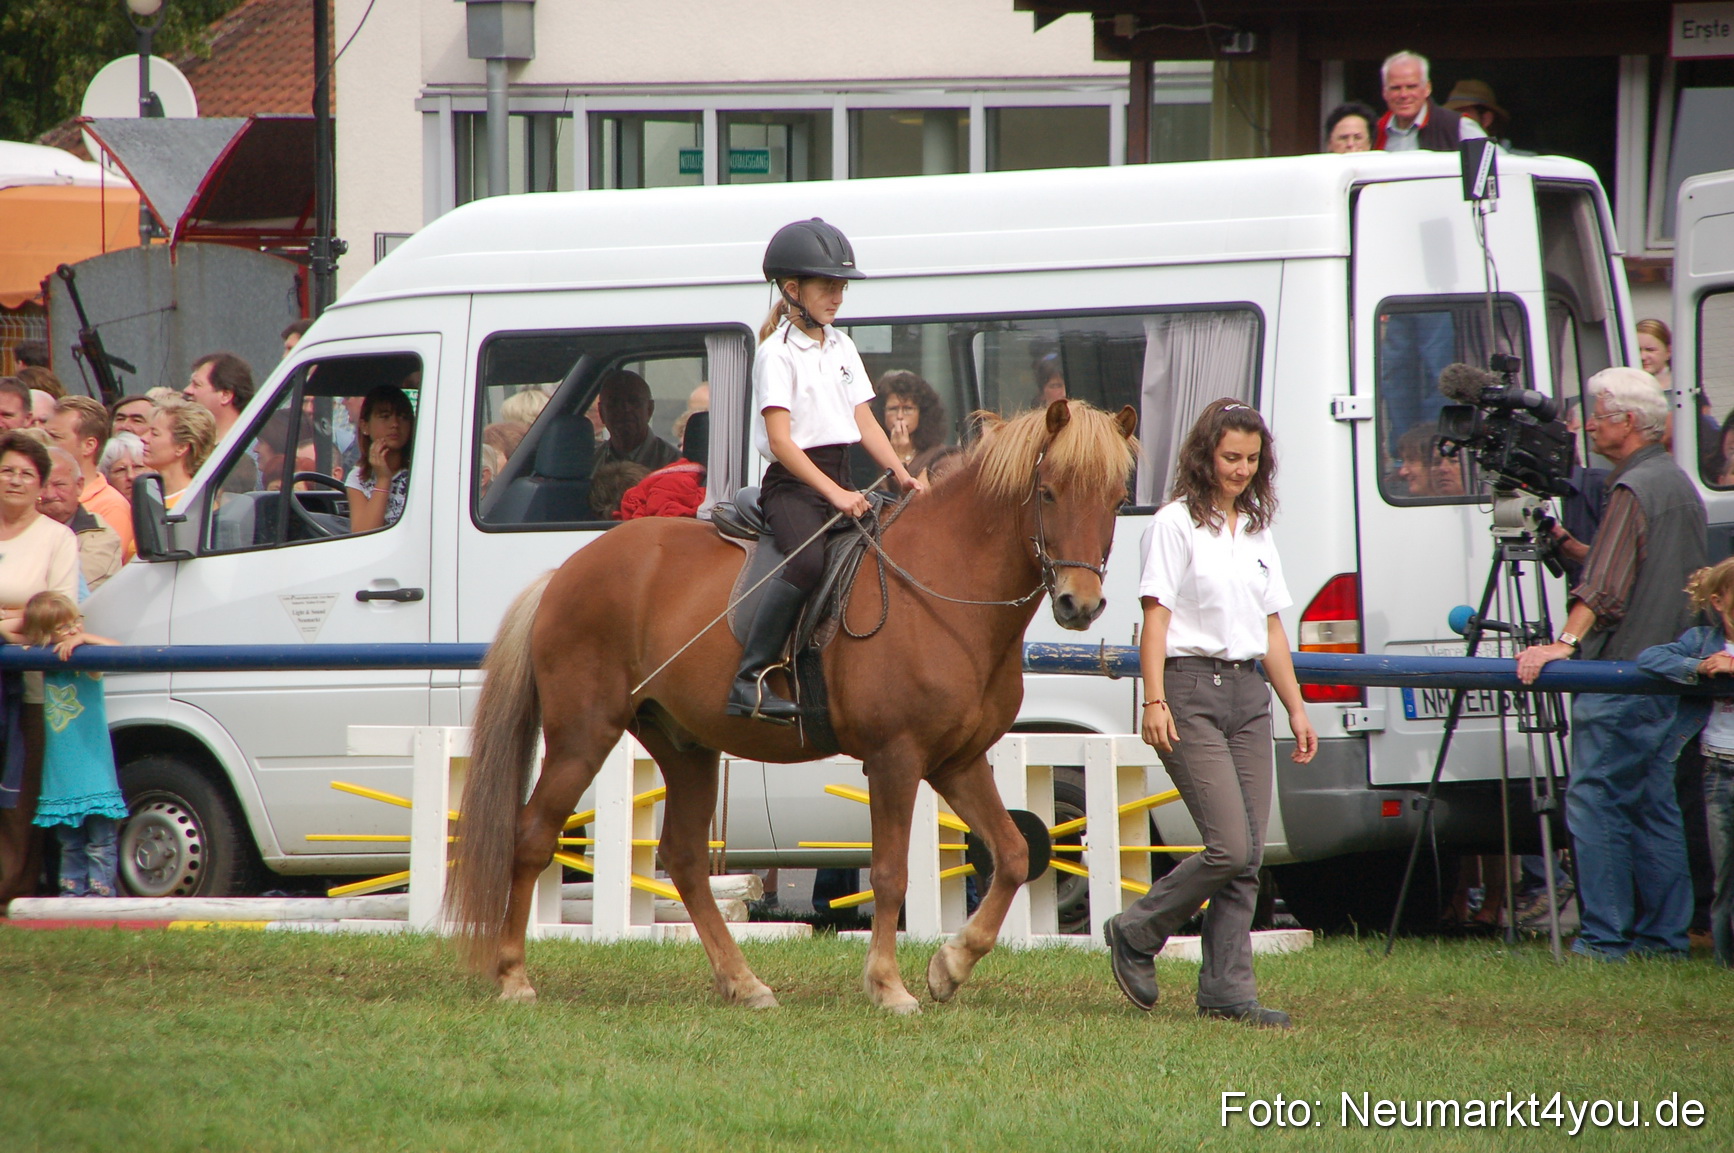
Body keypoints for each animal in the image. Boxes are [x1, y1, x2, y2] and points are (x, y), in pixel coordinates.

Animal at [447, 398, 1138, 1012]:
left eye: (1114, 500)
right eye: (1047, 492)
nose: (1080, 604)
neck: (947, 588)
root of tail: (565, 572)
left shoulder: (957, 761)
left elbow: (1016, 854)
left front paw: (950, 966)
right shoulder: (895, 759)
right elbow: (890, 874)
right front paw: (889, 986)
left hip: (685, 745)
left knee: (686, 860)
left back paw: (744, 983)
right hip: (583, 735)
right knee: (533, 836)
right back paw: (513, 977)